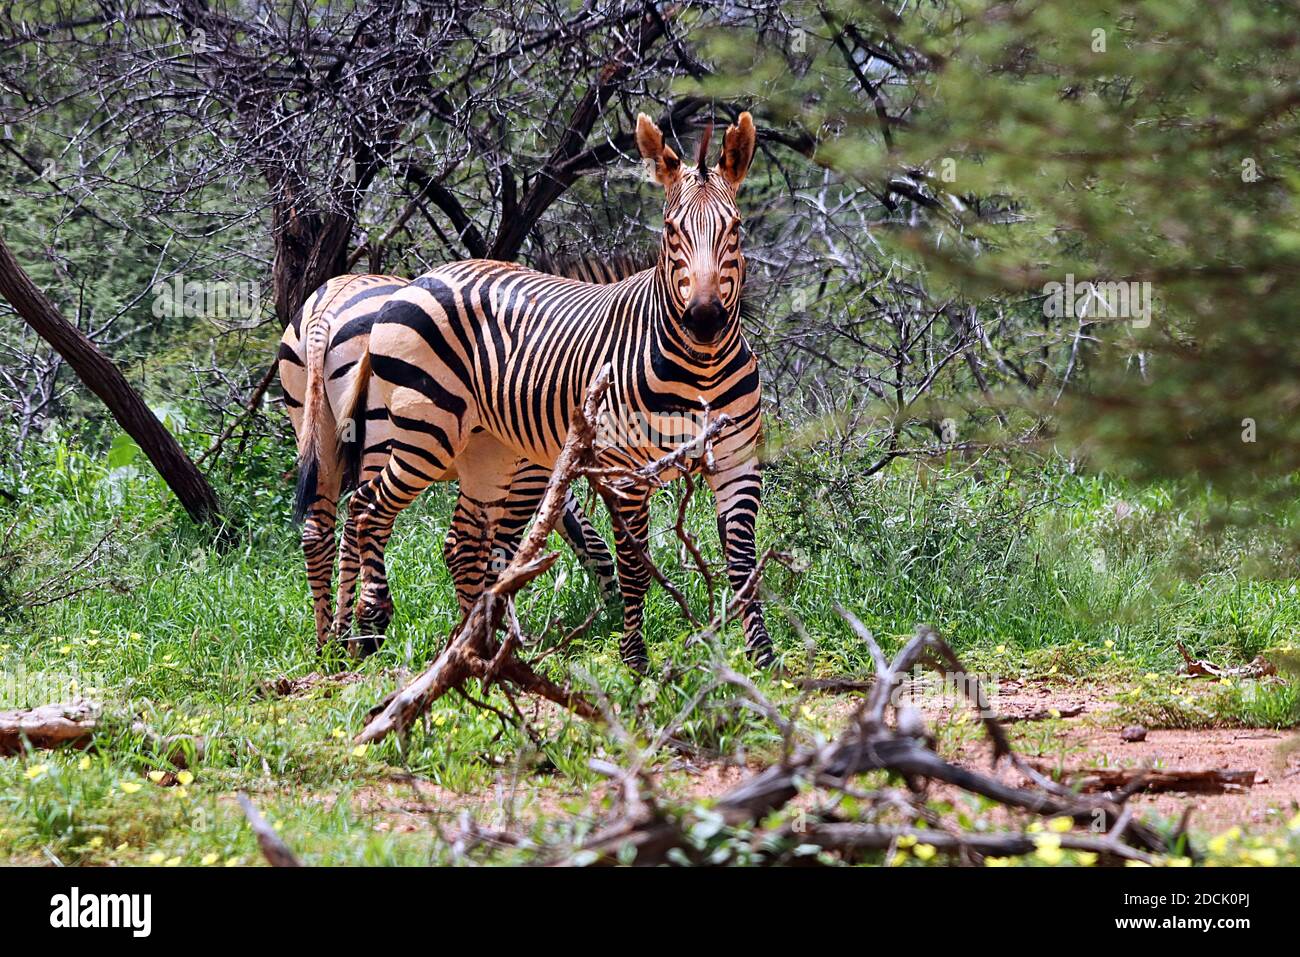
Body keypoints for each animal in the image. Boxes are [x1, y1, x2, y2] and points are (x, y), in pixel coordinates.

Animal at [279, 268, 623, 653]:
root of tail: (327, 306)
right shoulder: (531, 468)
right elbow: (510, 546)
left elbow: (580, 534)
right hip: (382, 435)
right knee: (360, 522)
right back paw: (359, 635)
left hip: (315, 428)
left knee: (319, 534)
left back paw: (331, 644)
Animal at [331, 111, 772, 668]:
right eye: (672, 231)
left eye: (734, 228)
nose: (706, 319)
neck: (703, 369)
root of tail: (413, 280)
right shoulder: (623, 471)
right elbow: (633, 564)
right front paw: (635, 661)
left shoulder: (738, 461)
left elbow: (744, 563)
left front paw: (765, 662)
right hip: (424, 434)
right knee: (367, 509)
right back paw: (370, 623)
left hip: (488, 451)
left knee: (460, 542)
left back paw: (477, 648)